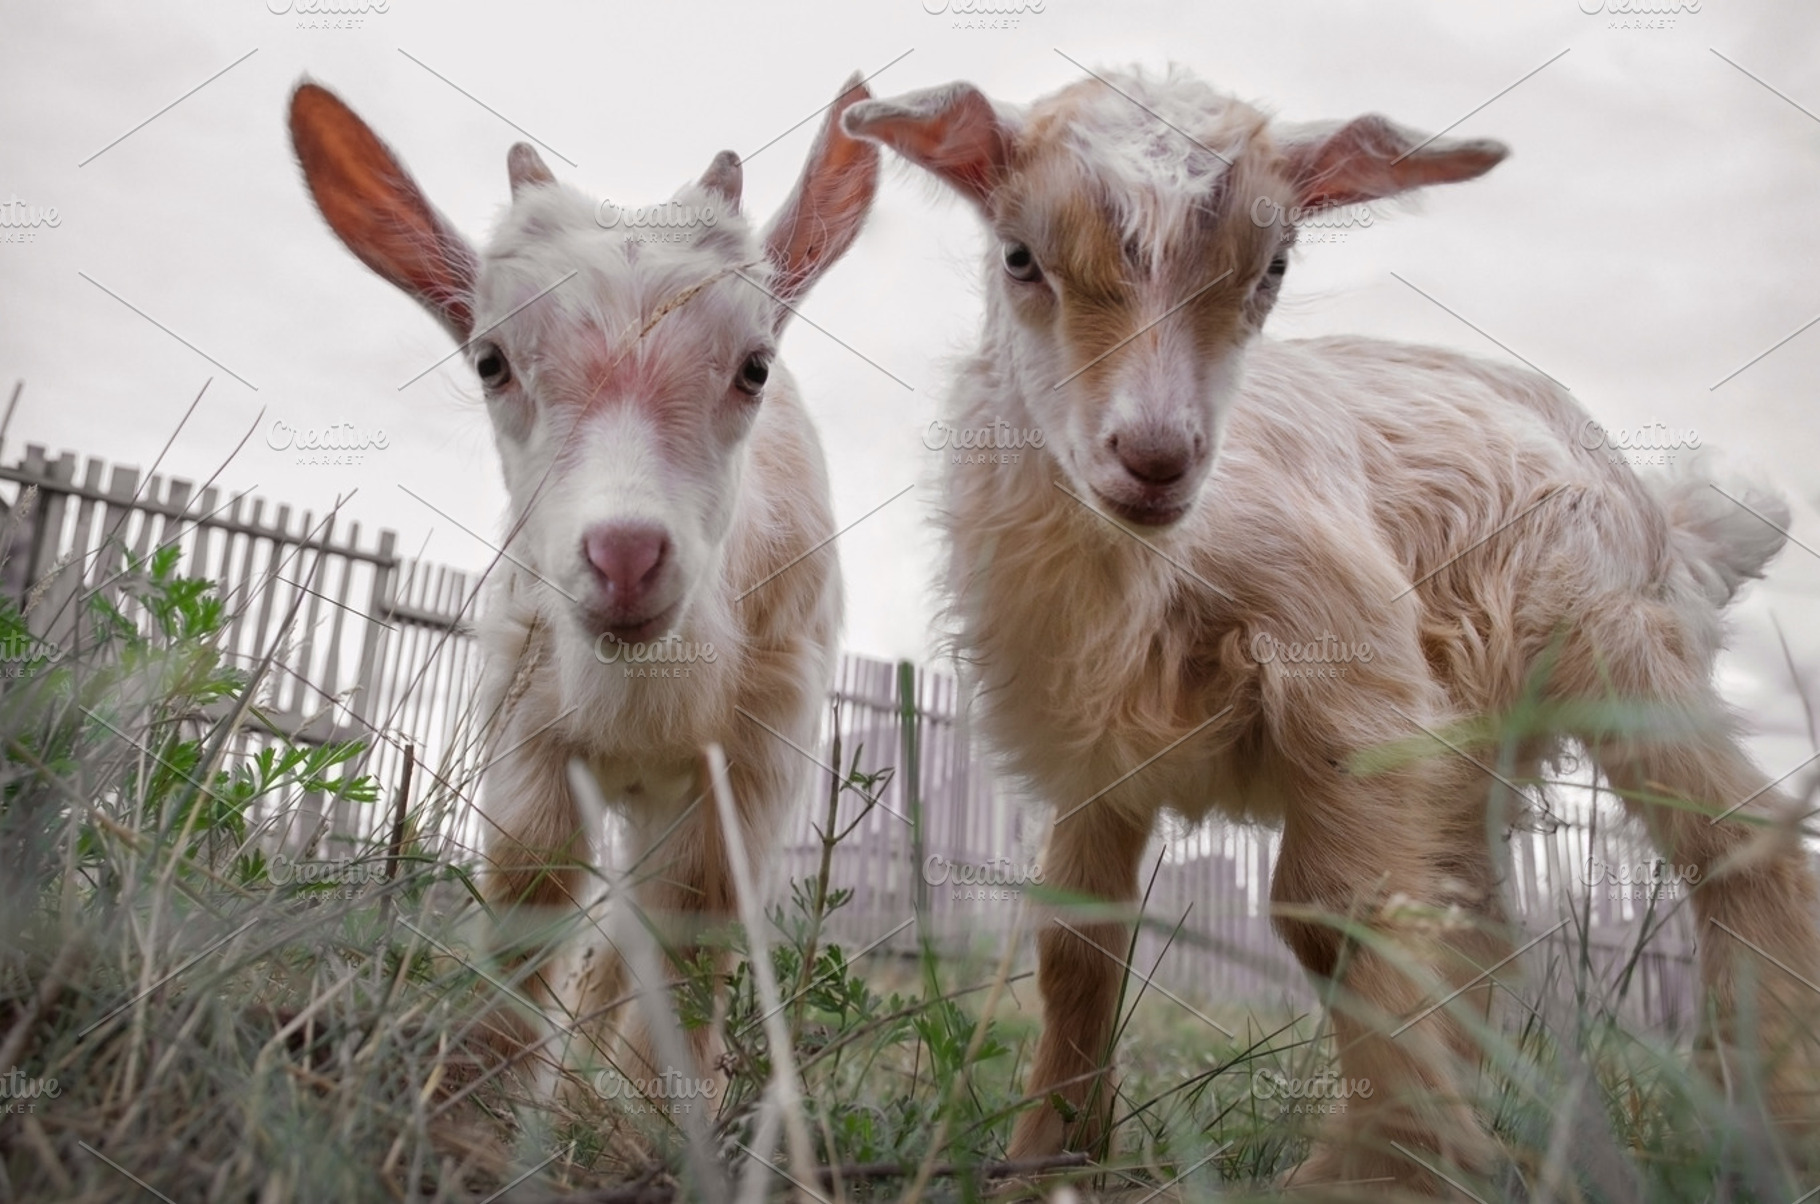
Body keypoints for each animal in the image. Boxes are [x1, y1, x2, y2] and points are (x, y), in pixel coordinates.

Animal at [290, 77, 877, 1092]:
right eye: (490, 361)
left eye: (754, 366)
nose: (626, 554)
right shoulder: (525, 713)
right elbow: (532, 886)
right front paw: (490, 1097)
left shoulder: (761, 748)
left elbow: (690, 927)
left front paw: (637, 1114)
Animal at [845, 66, 1820, 1191]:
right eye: (1018, 257)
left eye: (1271, 268)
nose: (1156, 456)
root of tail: (1666, 513)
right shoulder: (1096, 736)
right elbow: (1076, 936)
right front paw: (1048, 1155)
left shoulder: (1348, 666)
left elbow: (1331, 915)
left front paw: (1387, 1169)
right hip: (1472, 747)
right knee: (1472, 914)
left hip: (1607, 637)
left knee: (1741, 845)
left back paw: (1766, 1134)